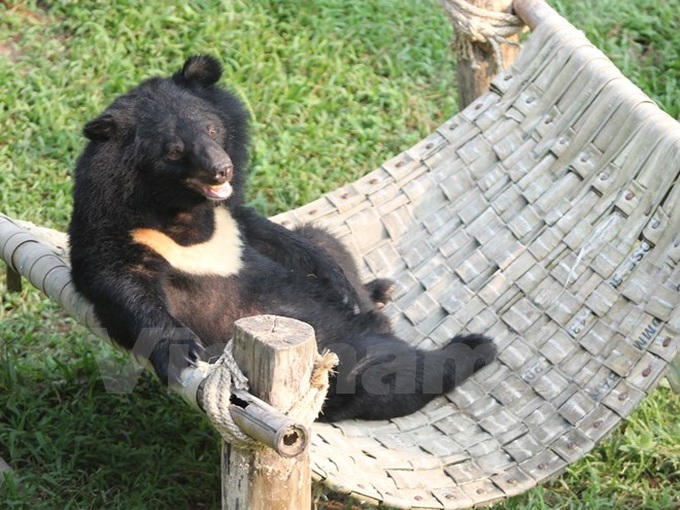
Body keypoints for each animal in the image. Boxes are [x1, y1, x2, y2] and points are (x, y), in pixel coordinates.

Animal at [68, 55, 496, 422]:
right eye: (173, 150)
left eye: (212, 128)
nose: (222, 170)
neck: (186, 215)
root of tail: (381, 333)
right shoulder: (116, 234)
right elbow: (125, 287)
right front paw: (181, 352)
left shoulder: (233, 220)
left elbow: (285, 242)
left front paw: (341, 286)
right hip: (346, 372)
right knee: (398, 377)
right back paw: (475, 346)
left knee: (323, 238)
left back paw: (377, 293)